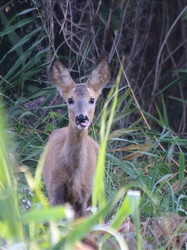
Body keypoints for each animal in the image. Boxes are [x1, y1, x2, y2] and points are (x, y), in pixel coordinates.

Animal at [42, 59, 109, 217]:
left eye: (92, 100)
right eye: (70, 100)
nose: (81, 118)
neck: (74, 176)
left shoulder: (84, 195)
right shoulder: (55, 190)